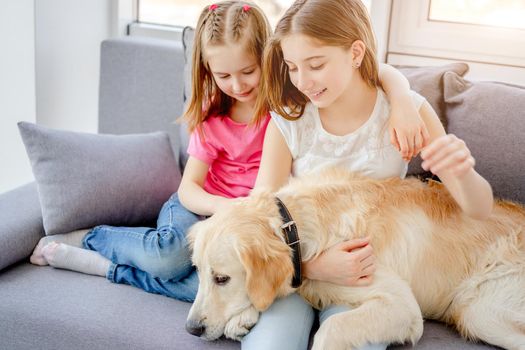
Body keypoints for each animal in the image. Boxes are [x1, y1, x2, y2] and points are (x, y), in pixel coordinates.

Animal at [186, 168, 520, 348]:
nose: (191, 330)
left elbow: (331, 329)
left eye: (222, 278)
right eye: (199, 273)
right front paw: (243, 317)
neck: (296, 225)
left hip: (480, 310)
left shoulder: (402, 306)